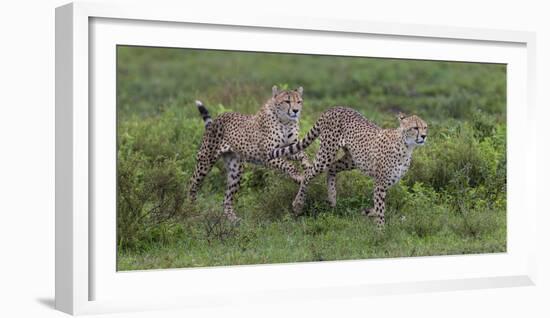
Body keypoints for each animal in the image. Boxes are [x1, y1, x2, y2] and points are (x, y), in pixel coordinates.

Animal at [189, 85, 310, 222]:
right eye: (287, 101)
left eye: (299, 101)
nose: (296, 111)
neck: (285, 121)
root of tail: (219, 117)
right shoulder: (268, 155)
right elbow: (289, 165)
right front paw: (298, 176)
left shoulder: (289, 148)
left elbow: (303, 155)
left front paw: (308, 166)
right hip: (205, 161)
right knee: (192, 183)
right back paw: (191, 209)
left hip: (235, 170)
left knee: (226, 199)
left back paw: (232, 219)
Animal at [270, 107, 430, 229]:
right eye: (415, 128)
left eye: (425, 127)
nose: (423, 136)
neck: (406, 146)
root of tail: (335, 108)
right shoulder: (380, 183)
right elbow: (380, 208)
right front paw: (380, 231)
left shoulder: (386, 182)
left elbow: (378, 205)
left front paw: (369, 212)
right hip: (327, 153)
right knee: (309, 172)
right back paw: (298, 204)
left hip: (352, 159)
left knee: (332, 168)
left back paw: (332, 197)